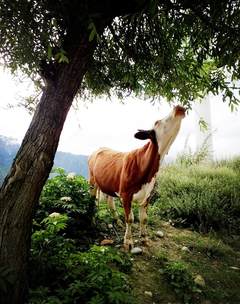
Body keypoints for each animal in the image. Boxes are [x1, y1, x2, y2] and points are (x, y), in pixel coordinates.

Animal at [88, 105, 186, 249]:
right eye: (157, 122)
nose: (178, 107)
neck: (147, 171)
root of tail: (99, 148)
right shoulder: (125, 194)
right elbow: (130, 218)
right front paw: (128, 241)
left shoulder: (147, 195)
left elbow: (144, 218)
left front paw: (144, 238)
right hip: (92, 181)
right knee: (92, 200)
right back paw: (92, 219)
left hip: (110, 184)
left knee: (110, 201)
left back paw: (117, 221)